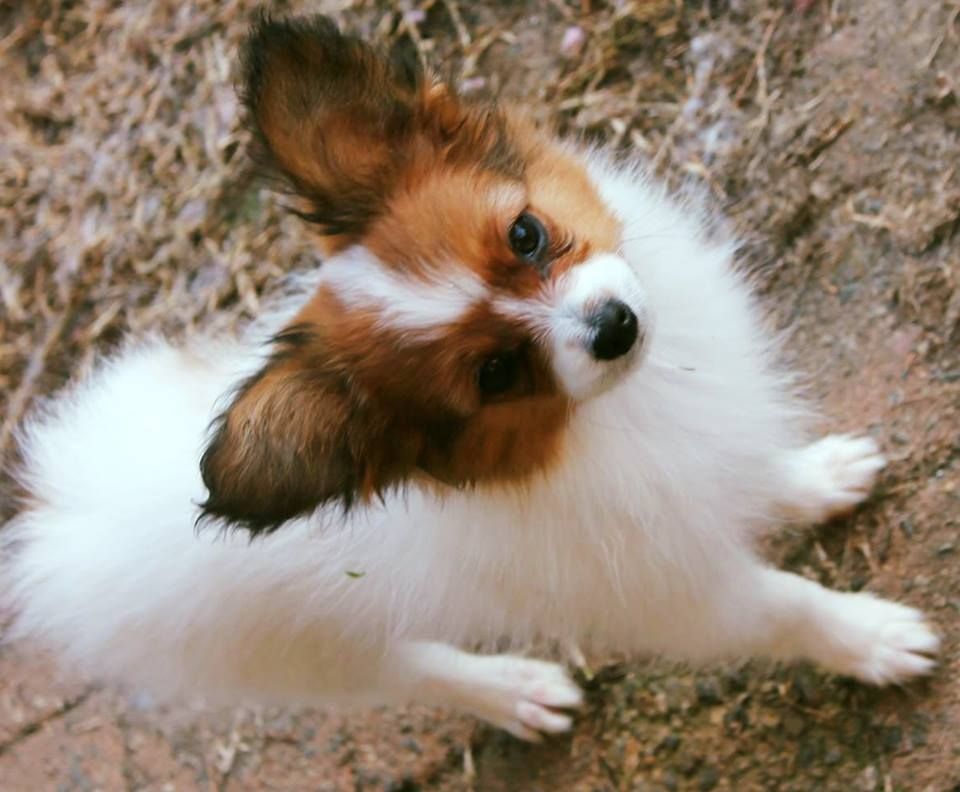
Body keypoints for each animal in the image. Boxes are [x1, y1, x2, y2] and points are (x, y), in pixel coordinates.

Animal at [2, 14, 938, 741]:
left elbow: (760, 470)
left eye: (527, 234)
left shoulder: (707, 457)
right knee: (416, 672)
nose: (615, 326)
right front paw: (871, 639)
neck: (602, 423)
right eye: (494, 373)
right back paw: (514, 692)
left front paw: (817, 478)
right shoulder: (683, 597)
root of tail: (62, 509)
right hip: (319, 658)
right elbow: (788, 608)